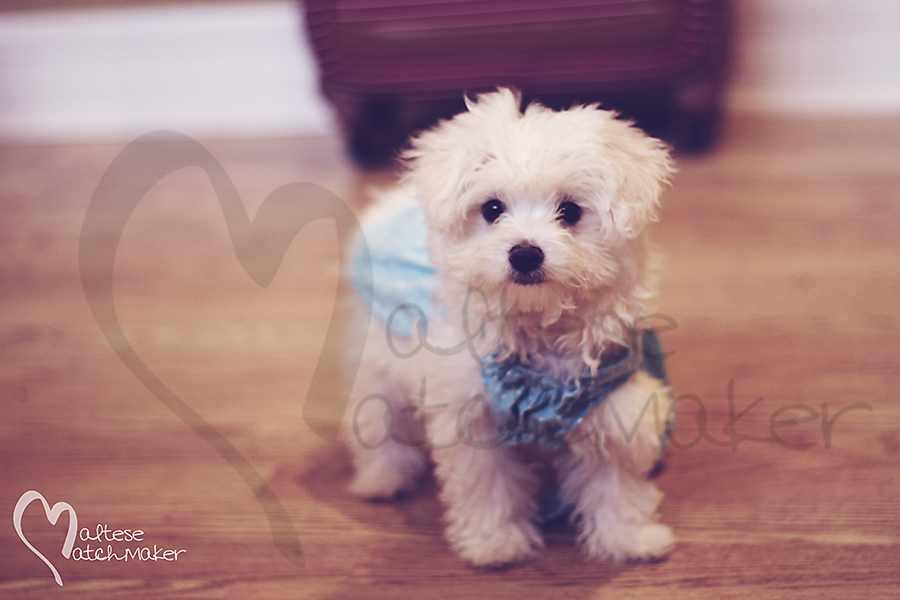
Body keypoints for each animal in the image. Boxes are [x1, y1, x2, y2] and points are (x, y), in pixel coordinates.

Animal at [342, 89, 676, 568]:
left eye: (570, 211)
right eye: (492, 209)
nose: (525, 253)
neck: (538, 329)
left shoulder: (613, 407)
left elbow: (616, 486)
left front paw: (628, 540)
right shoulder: (472, 419)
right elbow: (488, 488)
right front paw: (494, 543)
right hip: (378, 359)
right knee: (377, 420)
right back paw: (382, 478)